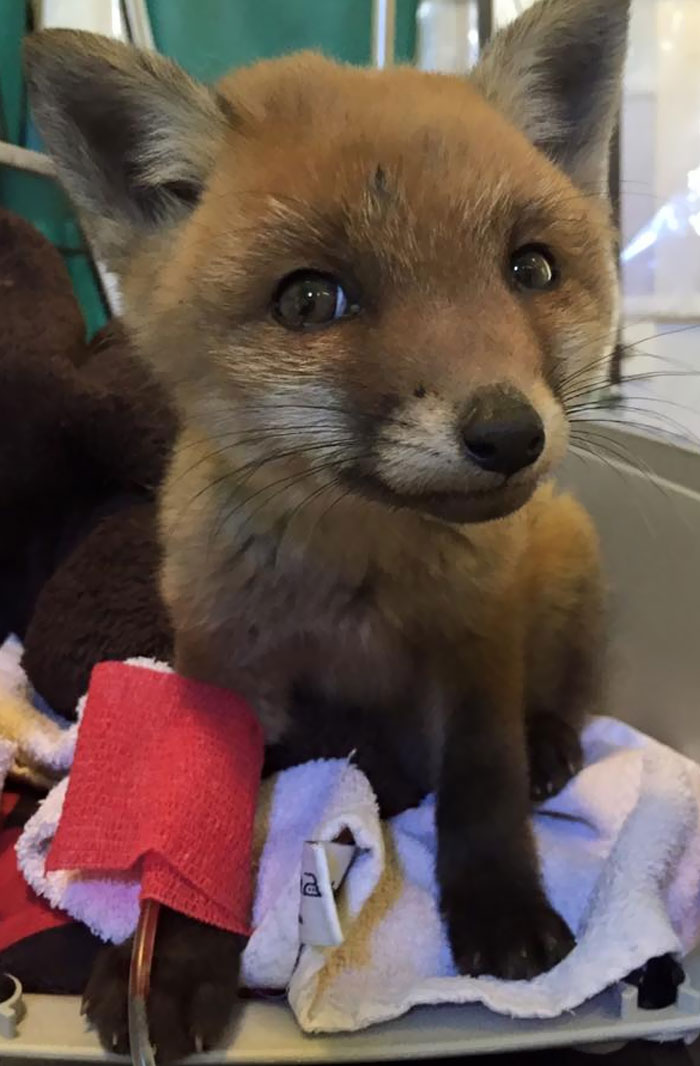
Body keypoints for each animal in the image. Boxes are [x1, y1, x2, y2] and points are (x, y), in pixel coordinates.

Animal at [25, 0, 629, 1059]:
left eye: (531, 268)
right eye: (311, 298)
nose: (510, 434)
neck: (359, 586)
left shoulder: (476, 650)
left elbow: (483, 791)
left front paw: (502, 913)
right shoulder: (223, 672)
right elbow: (197, 835)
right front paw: (169, 961)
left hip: (565, 561)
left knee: (560, 699)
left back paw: (550, 744)